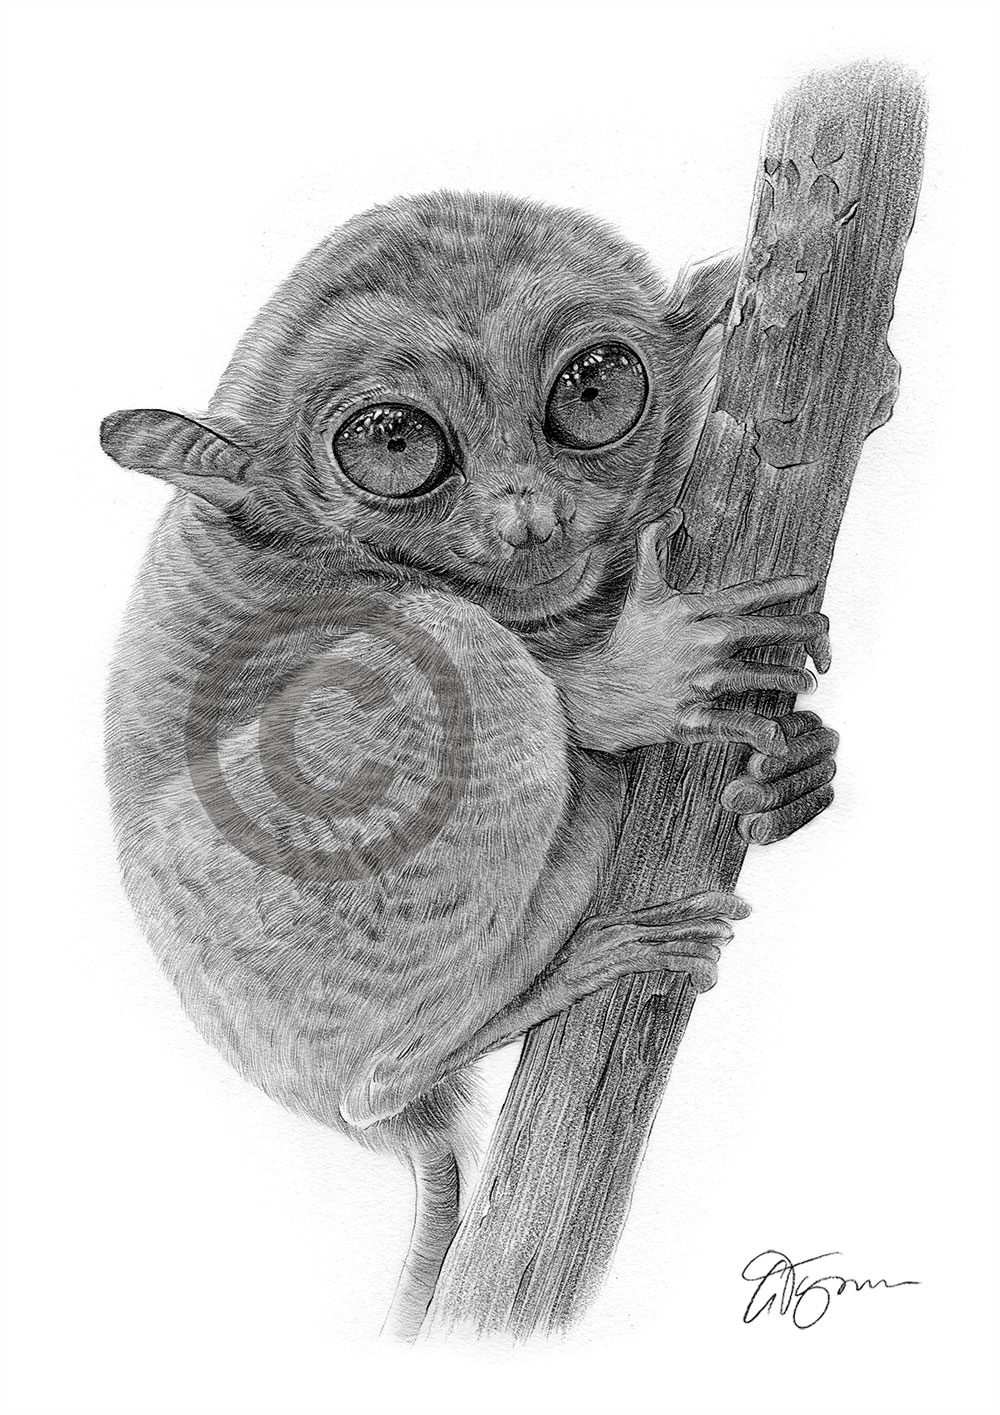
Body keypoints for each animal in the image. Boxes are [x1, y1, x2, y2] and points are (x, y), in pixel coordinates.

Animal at [100, 190, 839, 1341]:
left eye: (594, 390)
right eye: (398, 444)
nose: (528, 517)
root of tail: (391, 1135)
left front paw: (797, 771)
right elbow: (542, 675)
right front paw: (644, 673)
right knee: (471, 655)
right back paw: (564, 975)